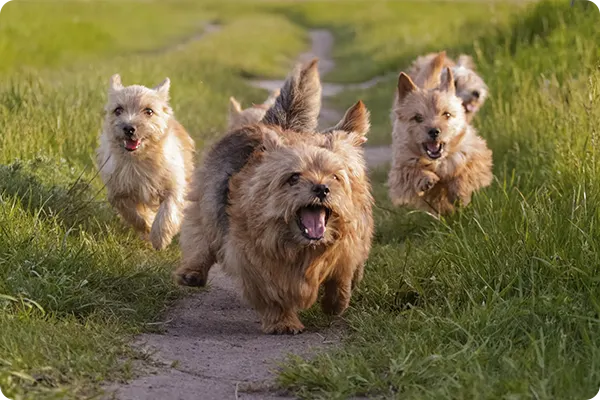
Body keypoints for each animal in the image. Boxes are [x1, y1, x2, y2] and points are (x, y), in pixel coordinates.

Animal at [96, 75, 195, 250]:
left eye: (149, 111)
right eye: (118, 110)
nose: (129, 128)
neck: (138, 160)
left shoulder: (175, 185)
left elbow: (169, 209)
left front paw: (160, 237)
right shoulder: (118, 192)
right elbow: (133, 213)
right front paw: (147, 225)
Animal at [173, 60, 372, 334]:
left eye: (335, 176)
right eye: (294, 177)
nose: (321, 188)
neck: (302, 247)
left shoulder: (348, 246)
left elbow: (341, 276)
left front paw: (336, 302)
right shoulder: (253, 259)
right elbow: (271, 292)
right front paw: (283, 321)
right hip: (208, 204)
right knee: (201, 238)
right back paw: (193, 271)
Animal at [390, 52, 492, 216]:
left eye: (447, 114)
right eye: (417, 117)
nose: (434, 131)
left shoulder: (475, 153)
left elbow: (465, 171)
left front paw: (460, 192)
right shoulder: (399, 169)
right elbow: (409, 172)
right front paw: (426, 179)